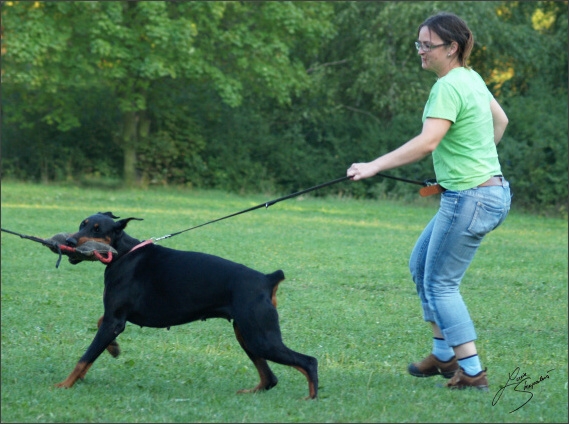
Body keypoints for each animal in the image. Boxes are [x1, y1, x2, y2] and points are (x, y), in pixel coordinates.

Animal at [55, 210, 318, 400]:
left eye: (98, 230)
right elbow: (100, 327)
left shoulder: (115, 319)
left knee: (309, 361)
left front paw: (63, 385)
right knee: (270, 378)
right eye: (82, 224)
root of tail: (267, 279)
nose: (69, 240)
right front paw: (113, 348)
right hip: (247, 335)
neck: (123, 253)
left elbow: (85, 357)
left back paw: (310, 398)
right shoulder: (114, 318)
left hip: (260, 337)